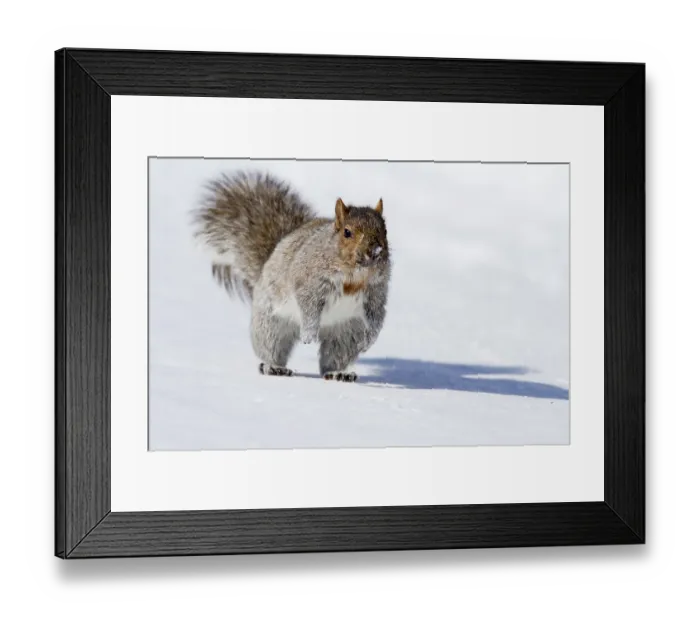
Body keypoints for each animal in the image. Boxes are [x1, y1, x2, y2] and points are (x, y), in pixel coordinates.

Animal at [193, 171, 391, 382]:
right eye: (347, 232)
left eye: (385, 231)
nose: (375, 251)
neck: (353, 276)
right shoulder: (309, 282)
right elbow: (308, 306)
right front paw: (309, 335)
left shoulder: (376, 291)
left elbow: (377, 316)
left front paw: (369, 340)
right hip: (271, 325)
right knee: (270, 348)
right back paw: (274, 367)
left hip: (346, 335)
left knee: (334, 357)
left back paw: (338, 373)